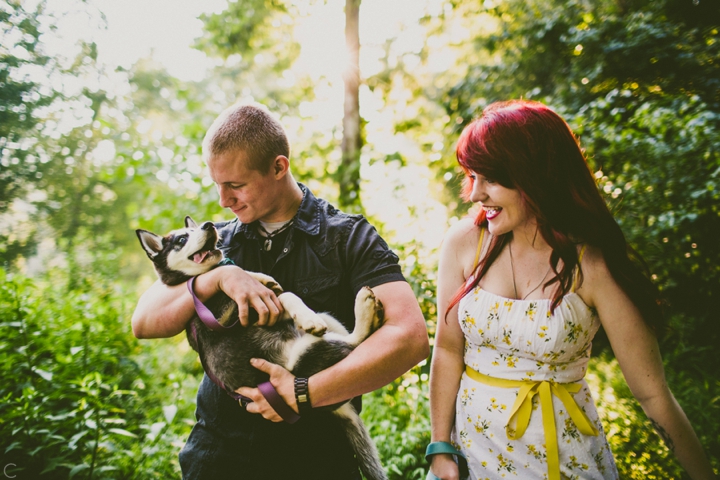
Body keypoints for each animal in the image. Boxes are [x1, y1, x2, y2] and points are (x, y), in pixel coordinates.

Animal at [138, 217, 390, 480]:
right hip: (304, 355)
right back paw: (364, 307)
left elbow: (276, 290)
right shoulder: (226, 313)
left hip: (326, 320)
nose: (208, 225)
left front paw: (260, 278)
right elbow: (278, 292)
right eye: (181, 239)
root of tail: (339, 408)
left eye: (195, 229)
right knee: (355, 342)